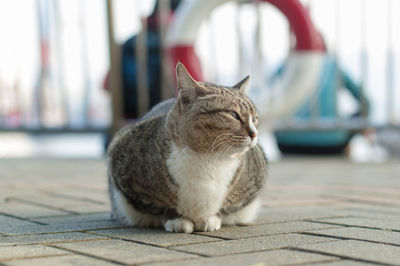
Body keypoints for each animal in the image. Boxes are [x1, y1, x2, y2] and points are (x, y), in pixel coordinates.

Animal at [108, 62, 268, 233]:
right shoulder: (122, 169)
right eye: (233, 114)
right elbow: (160, 206)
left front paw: (210, 218)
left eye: (255, 118)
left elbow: (227, 207)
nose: (254, 133)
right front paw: (176, 219)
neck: (210, 158)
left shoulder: (253, 185)